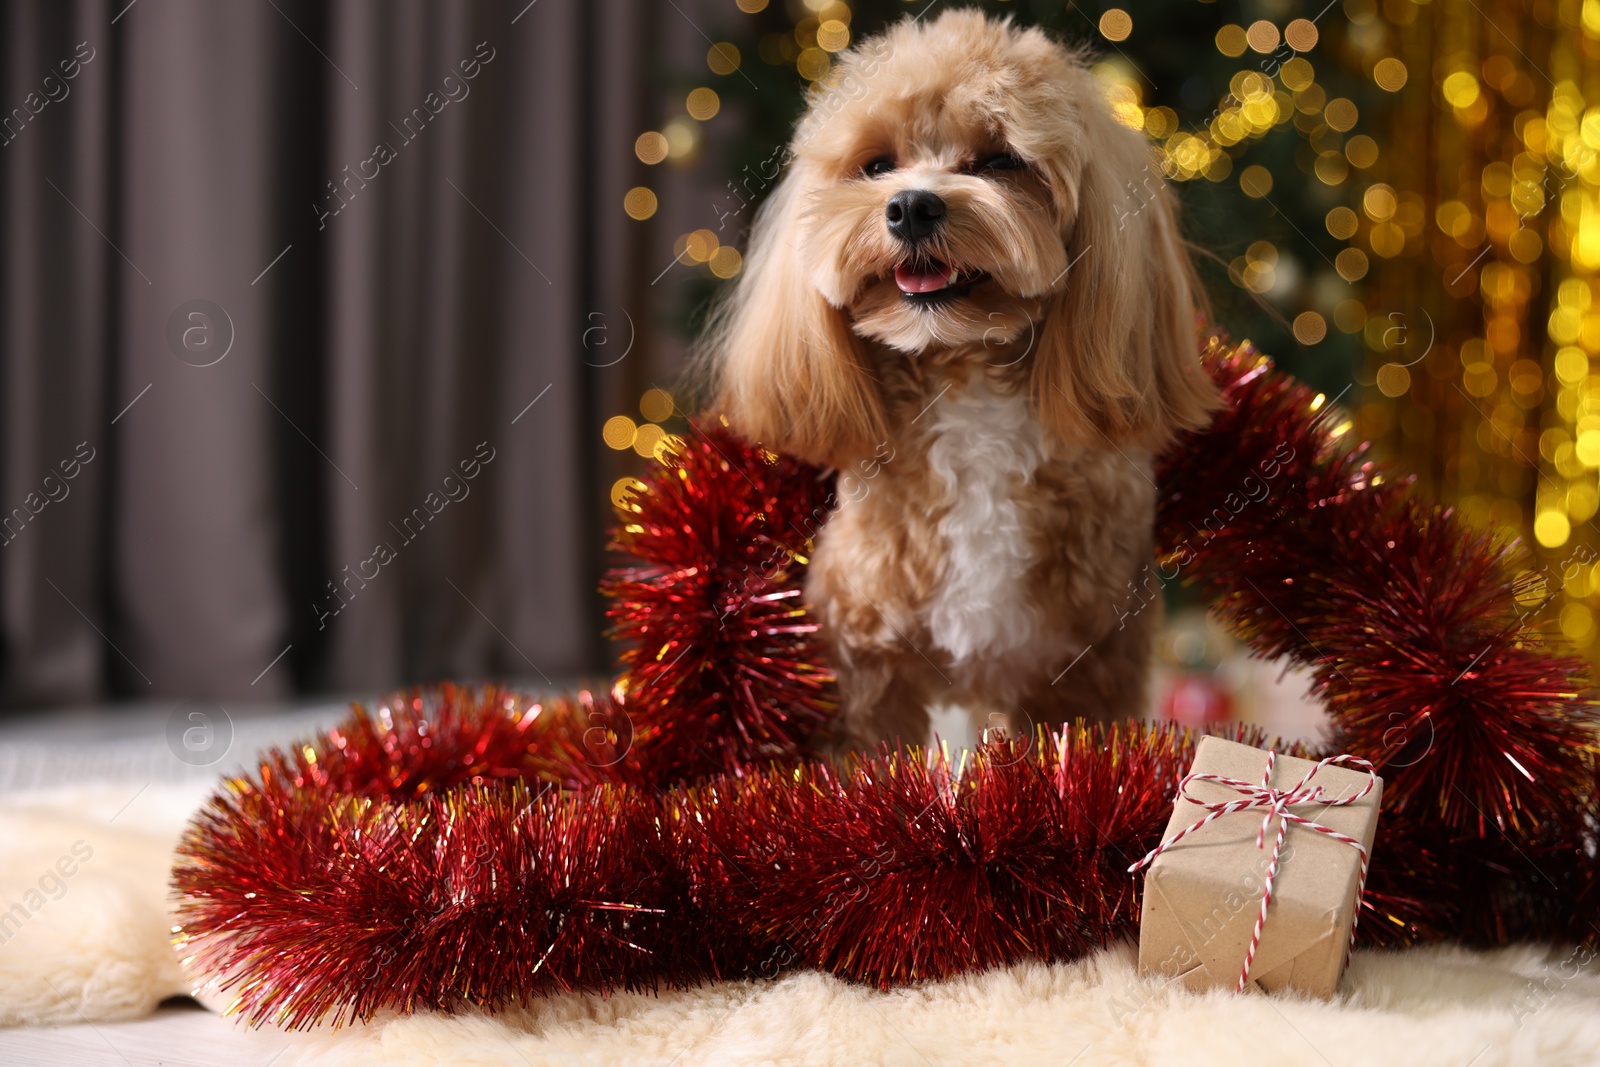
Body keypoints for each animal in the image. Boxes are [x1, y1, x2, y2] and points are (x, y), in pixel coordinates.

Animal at [707, 8, 1216, 748]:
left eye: (1002, 161)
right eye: (877, 165)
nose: (911, 206)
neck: (965, 376)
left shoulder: (1083, 669)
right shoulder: (867, 661)